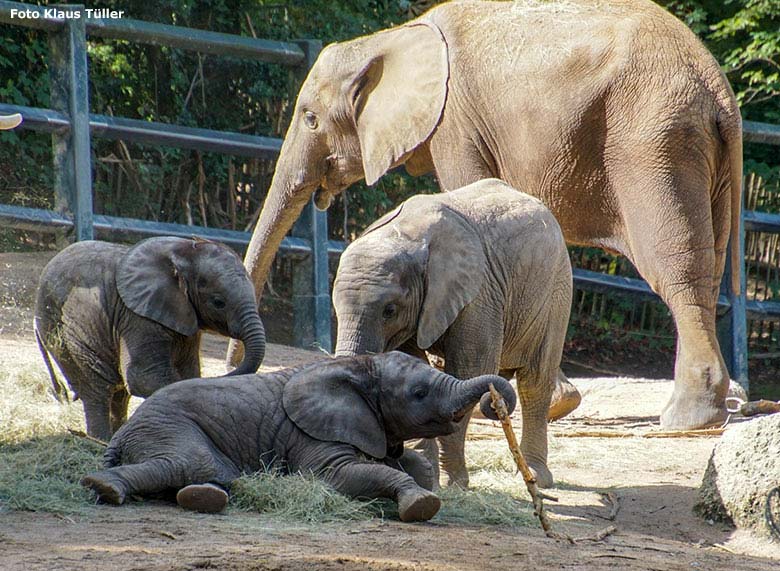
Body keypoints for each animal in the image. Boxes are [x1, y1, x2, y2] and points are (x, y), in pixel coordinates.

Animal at [35, 237, 268, 442]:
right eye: (218, 302)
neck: (184, 251)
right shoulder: (137, 316)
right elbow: (143, 377)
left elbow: (188, 372)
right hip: (60, 329)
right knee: (96, 390)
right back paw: (100, 441)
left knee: (119, 395)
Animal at [80, 354, 516, 524]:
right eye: (419, 393)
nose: (494, 402)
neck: (358, 367)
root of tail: (121, 434)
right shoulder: (309, 433)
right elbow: (337, 477)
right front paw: (420, 505)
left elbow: (413, 464)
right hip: (168, 425)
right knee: (191, 463)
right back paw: (103, 487)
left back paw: (204, 498)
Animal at [229, 0, 740, 432]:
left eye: (310, 118)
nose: (234, 362)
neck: (391, 40)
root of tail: (719, 87)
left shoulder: (456, 121)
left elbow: (469, 186)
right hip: (694, 152)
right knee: (709, 265)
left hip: (652, 142)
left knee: (675, 269)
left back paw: (686, 421)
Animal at [332, 179, 576, 488]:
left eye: (389, 310)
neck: (406, 235)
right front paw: (426, 475)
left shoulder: (479, 294)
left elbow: (469, 370)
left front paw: (451, 484)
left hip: (556, 288)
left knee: (536, 379)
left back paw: (535, 477)